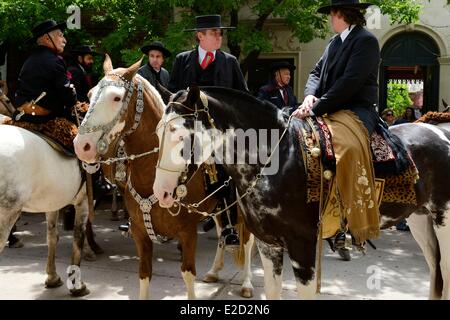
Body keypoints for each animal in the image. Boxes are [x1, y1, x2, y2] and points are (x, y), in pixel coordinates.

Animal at [0, 121, 89, 296]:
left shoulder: (52, 203)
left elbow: (52, 237)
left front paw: (52, 277)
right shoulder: (83, 200)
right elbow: (78, 236)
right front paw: (77, 284)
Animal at [72, 55, 255, 300]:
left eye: (116, 97)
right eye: (90, 94)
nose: (82, 145)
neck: (152, 177)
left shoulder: (187, 233)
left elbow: (188, 274)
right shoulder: (140, 234)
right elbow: (144, 274)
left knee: (248, 241)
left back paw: (246, 283)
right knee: (221, 233)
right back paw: (214, 271)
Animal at [153, 86, 450, 298]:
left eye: (179, 134)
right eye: (158, 132)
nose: (161, 192)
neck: (279, 158)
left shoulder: (302, 245)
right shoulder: (268, 245)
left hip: (443, 220)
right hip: (420, 220)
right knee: (436, 270)